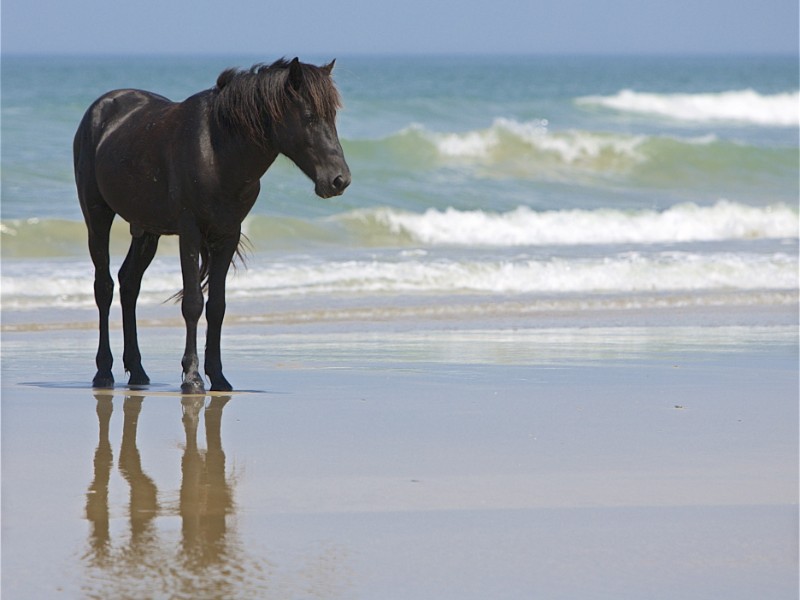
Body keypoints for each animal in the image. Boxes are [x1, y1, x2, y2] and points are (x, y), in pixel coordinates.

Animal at [74, 57, 350, 394]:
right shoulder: (190, 233)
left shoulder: (227, 234)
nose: (339, 180)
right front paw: (192, 377)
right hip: (98, 216)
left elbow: (217, 306)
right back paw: (104, 372)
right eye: (309, 117)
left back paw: (137, 372)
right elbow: (193, 303)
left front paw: (218, 377)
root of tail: (101, 108)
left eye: (332, 116)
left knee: (129, 284)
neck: (218, 153)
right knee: (104, 287)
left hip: (147, 230)